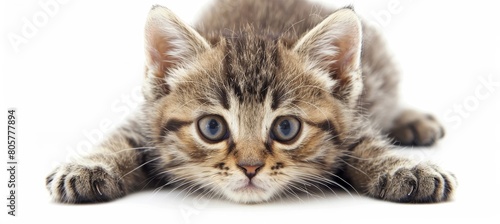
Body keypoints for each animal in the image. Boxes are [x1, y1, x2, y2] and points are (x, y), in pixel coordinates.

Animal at [45, 0, 456, 204]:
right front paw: (90, 166)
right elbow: (120, 139)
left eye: (286, 128)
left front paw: (407, 168)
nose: (250, 167)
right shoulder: (144, 119)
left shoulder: (353, 120)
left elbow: (368, 146)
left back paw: (413, 121)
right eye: (212, 127)